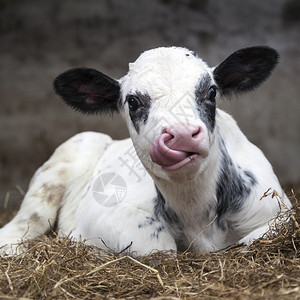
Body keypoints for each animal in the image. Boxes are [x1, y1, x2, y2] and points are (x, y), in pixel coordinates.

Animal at [0, 45, 290, 254]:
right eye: (133, 101)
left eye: (211, 92)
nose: (182, 134)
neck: (196, 217)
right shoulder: (102, 215)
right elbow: (158, 246)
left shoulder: (278, 210)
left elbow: (255, 238)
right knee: (24, 224)